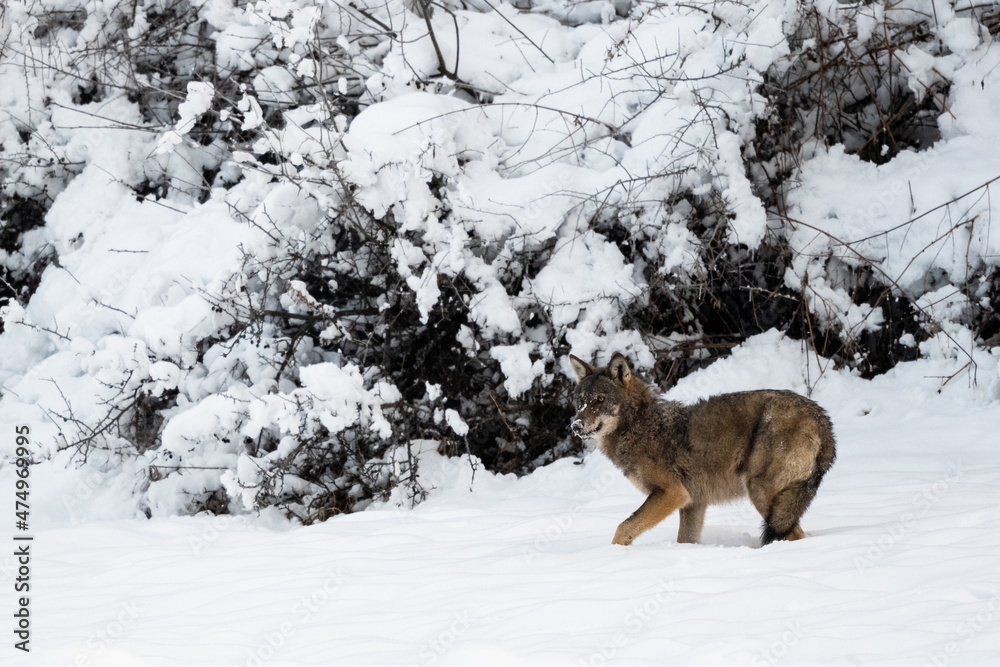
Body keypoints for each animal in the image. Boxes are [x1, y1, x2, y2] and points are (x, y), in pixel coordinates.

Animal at [569, 352, 836, 546]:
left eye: (600, 400)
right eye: (580, 401)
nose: (575, 425)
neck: (638, 426)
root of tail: (821, 416)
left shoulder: (672, 493)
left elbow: (622, 528)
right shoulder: (692, 503)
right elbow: (685, 540)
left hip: (761, 493)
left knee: (794, 534)